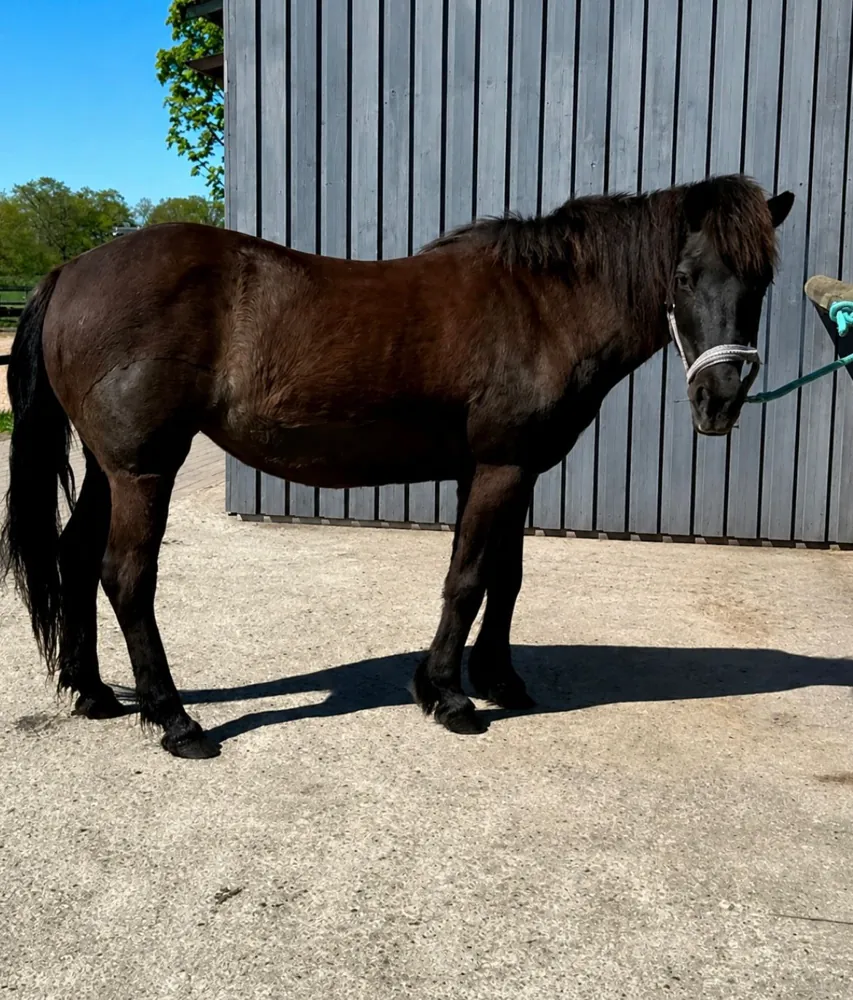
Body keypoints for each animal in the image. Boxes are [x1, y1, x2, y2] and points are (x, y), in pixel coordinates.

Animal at [1, 174, 794, 759]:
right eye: (684, 276)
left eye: (761, 280)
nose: (721, 399)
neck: (543, 305)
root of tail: (71, 270)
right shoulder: (501, 467)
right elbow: (468, 580)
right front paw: (449, 696)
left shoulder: (507, 470)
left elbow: (503, 578)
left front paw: (498, 680)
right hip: (144, 470)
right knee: (127, 577)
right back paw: (175, 721)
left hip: (108, 468)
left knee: (76, 558)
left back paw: (94, 693)